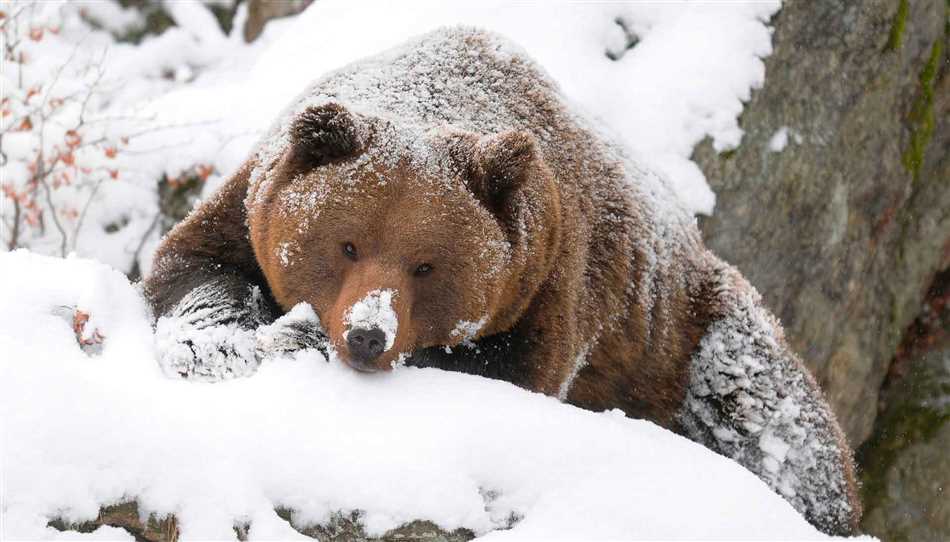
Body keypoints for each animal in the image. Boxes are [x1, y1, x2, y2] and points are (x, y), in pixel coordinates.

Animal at [147, 26, 864, 540]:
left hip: (689, 334)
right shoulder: (252, 203)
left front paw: (295, 336)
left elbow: (505, 370)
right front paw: (213, 344)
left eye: (426, 264)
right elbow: (194, 266)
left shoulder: (549, 281)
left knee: (773, 421)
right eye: (347, 243)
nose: (367, 335)